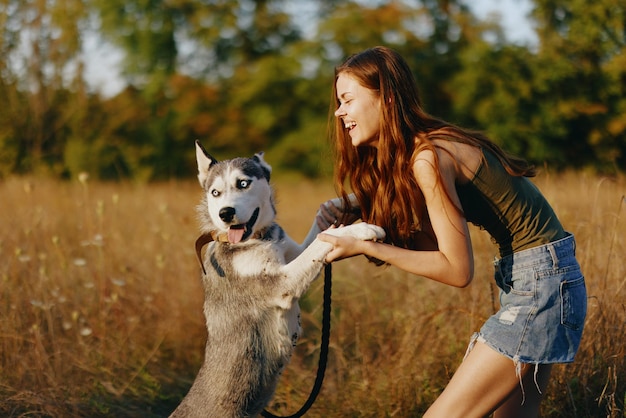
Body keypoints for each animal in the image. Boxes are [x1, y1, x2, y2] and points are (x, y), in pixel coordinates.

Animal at [168, 141, 382, 418]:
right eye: (215, 192)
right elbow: (323, 240)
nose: (226, 213)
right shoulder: (282, 284)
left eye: (243, 183)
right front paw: (359, 229)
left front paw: (355, 198)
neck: (258, 239)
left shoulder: (293, 254)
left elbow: (319, 232)